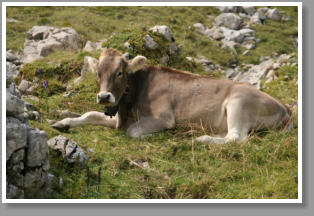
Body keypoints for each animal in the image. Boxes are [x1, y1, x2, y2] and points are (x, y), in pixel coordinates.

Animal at [52, 48, 294, 144]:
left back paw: (200, 139)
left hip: (239, 101)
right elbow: (90, 114)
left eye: (120, 72)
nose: (104, 97)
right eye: (98, 73)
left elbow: (133, 132)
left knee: (235, 138)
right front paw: (63, 122)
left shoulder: (162, 118)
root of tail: (285, 107)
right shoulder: (118, 117)